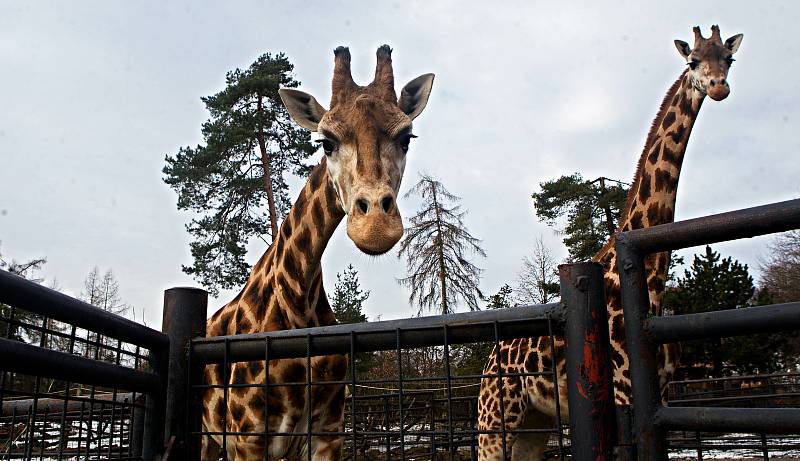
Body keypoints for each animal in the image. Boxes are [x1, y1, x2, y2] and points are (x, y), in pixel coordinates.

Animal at [203, 45, 434, 460]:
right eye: (326, 141)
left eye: (407, 137)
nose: (375, 227)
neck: (297, 307)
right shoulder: (247, 437)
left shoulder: (327, 431)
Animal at [476, 26, 744, 460]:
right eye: (692, 62)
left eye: (728, 58)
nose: (719, 87)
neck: (652, 279)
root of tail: (486, 364)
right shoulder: (622, 392)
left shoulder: (659, 398)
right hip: (495, 417)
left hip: (535, 422)